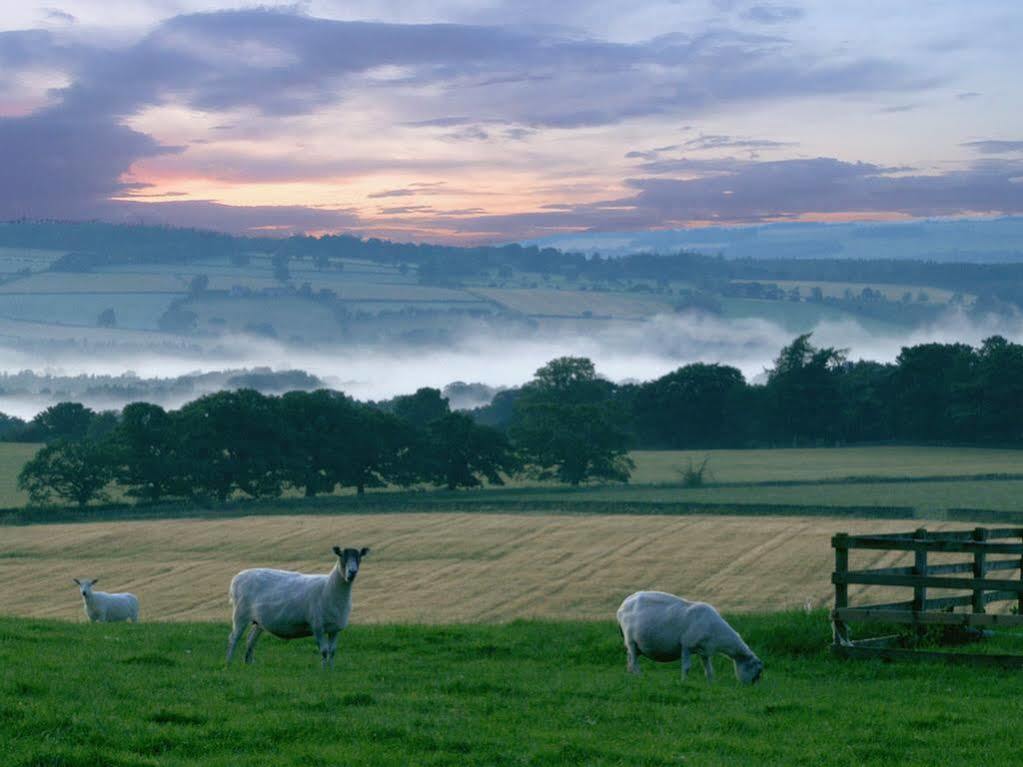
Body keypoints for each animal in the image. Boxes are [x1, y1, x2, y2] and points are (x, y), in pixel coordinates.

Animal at [226, 548, 370, 666]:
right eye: (342, 556)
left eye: (359, 557)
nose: (352, 572)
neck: (328, 586)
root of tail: (236, 578)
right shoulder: (317, 626)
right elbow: (324, 651)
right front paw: (324, 672)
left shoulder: (335, 628)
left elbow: (332, 651)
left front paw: (331, 670)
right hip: (240, 614)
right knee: (233, 639)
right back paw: (229, 663)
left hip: (259, 621)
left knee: (250, 640)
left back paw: (248, 663)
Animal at [613, 593, 761, 687]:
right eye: (757, 671)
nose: (752, 688)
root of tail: (623, 605)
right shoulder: (686, 646)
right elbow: (686, 667)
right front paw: (684, 682)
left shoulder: (705, 651)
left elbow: (709, 670)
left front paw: (711, 684)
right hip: (631, 641)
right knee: (634, 662)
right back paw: (640, 677)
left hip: (633, 645)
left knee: (629, 660)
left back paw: (632, 677)